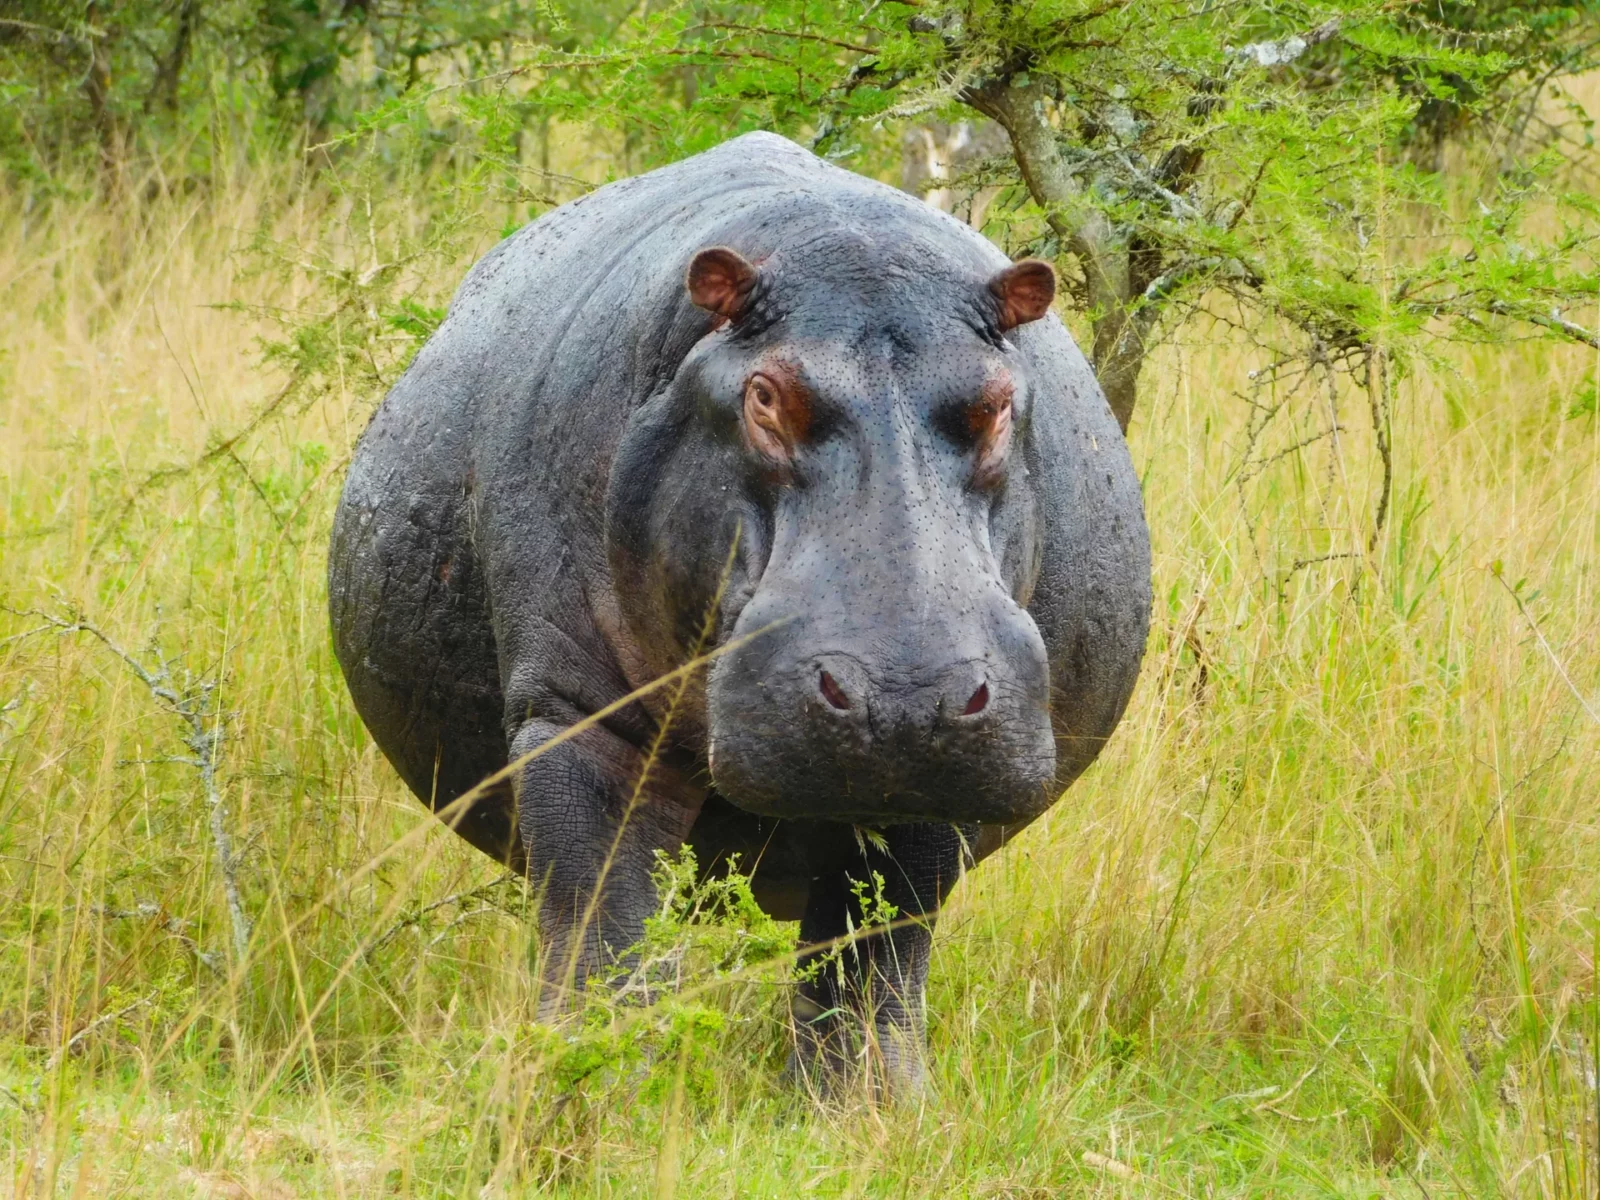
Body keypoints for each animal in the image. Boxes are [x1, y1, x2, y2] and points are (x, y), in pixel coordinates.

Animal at [328, 131, 1150, 1092]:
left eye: (997, 403)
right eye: (763, 396)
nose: (905, 695)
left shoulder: (942, 776)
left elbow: (878, 954)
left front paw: (872, 1105)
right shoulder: (579, 718)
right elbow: (603, 924)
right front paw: (602, 1084)